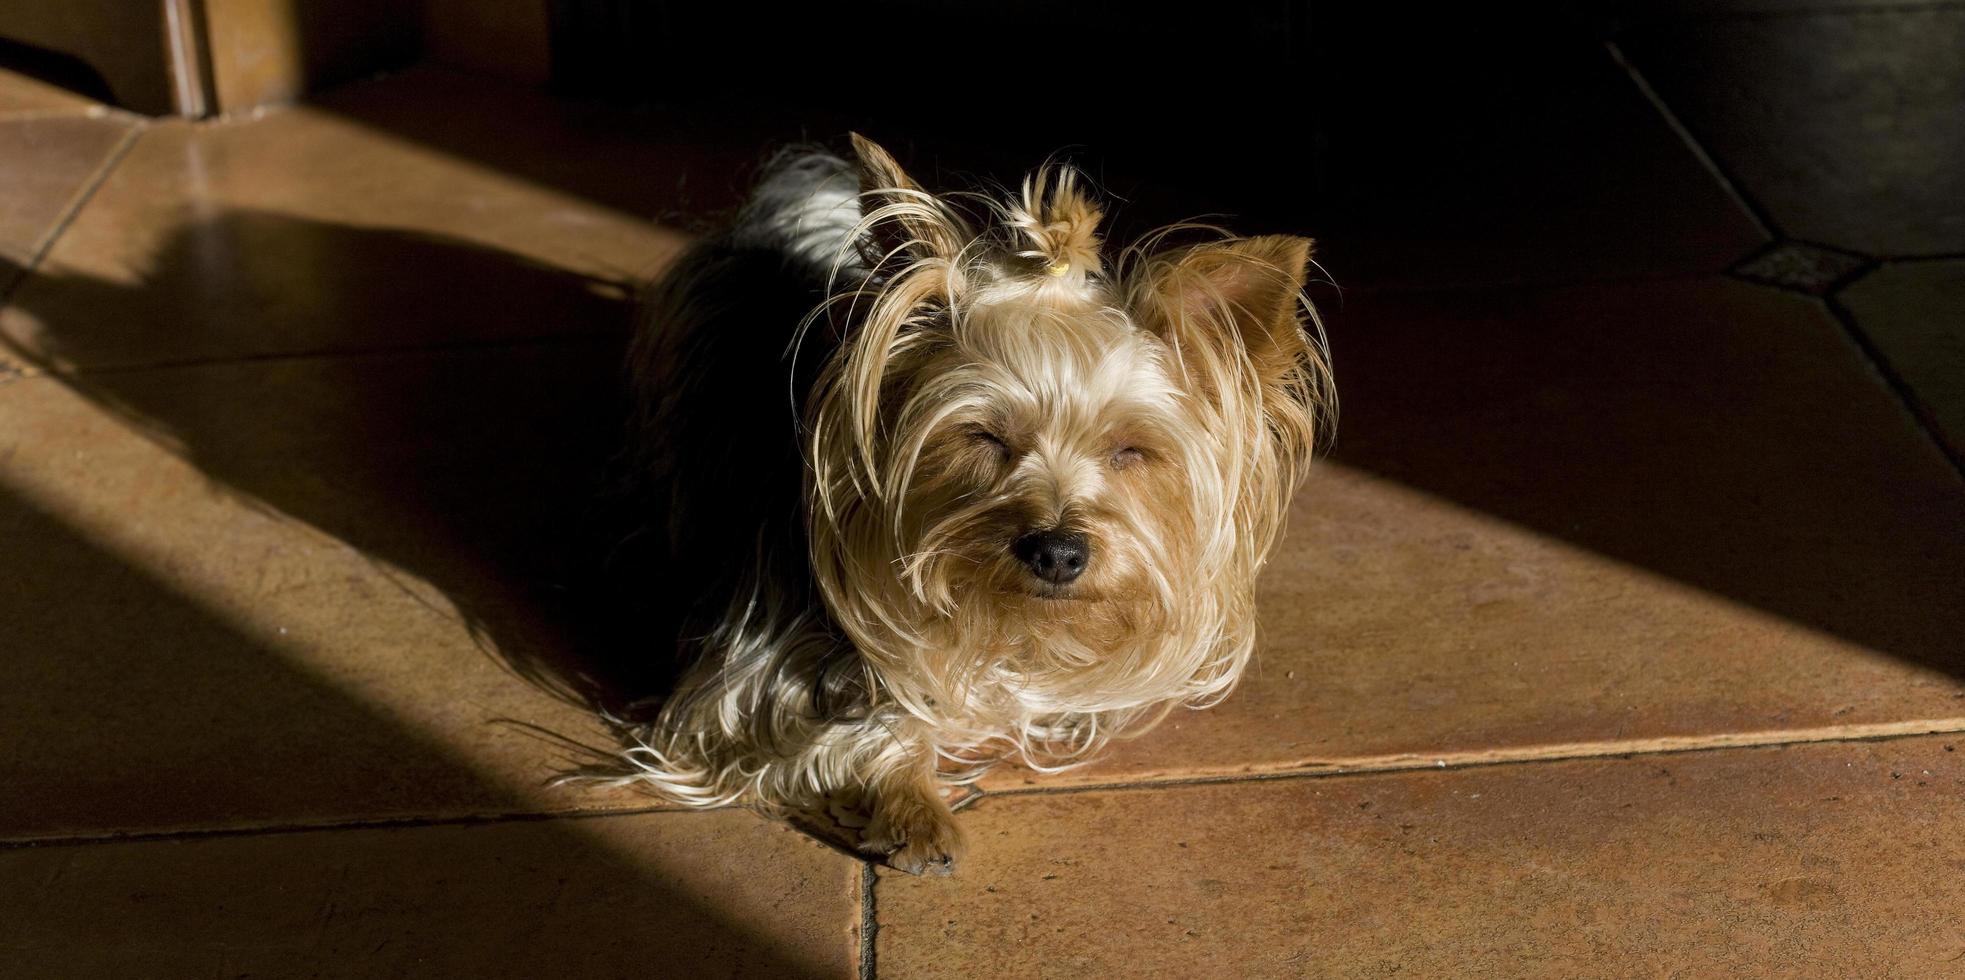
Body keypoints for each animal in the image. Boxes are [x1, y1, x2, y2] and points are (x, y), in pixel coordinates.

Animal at [597, 132, 1336, 875]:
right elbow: (835, 724)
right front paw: (910, 804)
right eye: (983, 436)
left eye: (1129, 451)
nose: (1058, 551)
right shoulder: (738, 689)